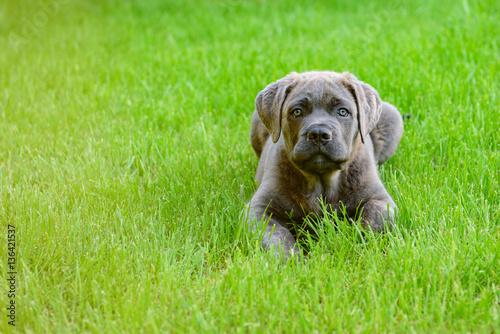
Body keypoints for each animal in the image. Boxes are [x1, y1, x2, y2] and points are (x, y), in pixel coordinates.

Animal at [248, 70, 404, 260]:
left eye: (343, 112)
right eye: (297, 111)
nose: (318, 133)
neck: (322, 181)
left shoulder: (380, 200)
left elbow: (374, 222)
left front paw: (358, 248)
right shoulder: (259, 208)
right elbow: (277, 236)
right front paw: (292, 260)